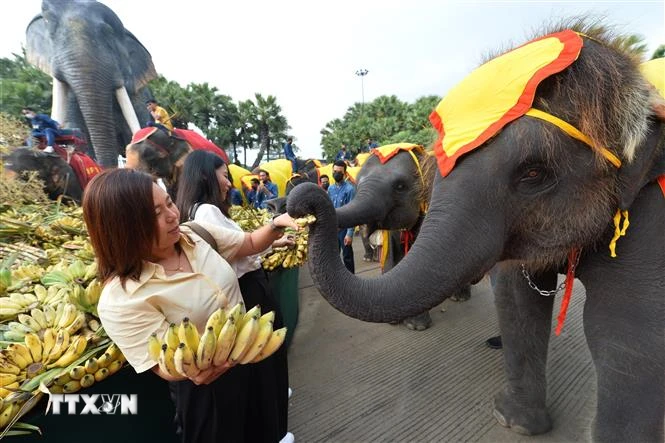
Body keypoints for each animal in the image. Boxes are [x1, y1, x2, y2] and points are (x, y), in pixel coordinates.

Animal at [286, 24, 664, 443]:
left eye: (534, 173)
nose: (301, 199)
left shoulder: (648, 212)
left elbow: (623, 330)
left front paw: (511, 420)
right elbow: (516, 298)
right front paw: (515, 422)